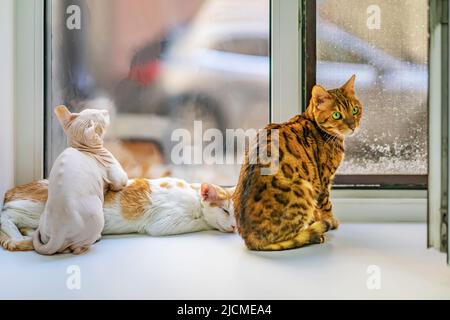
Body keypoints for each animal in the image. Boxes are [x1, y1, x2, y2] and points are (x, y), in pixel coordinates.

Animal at [0, 176, 237, 251]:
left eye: (237, 216)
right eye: (225, 210)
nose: (235, 227)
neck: (192, 194)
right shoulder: (162, 223)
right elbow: (200, 222)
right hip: (37, 208)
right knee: (6, 216)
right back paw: (18, 237)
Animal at [32, 106, 128, 256]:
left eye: (95, 110)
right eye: (101, 116)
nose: (106, 110)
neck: (81, 148)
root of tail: (58, 230)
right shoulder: (115, 172)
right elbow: (121, 182)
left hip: (44, 220)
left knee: (64, 248)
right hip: (96, 216)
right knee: (77, 248)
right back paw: (91, 243)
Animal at [234, 74, 360, 250]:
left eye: (355, 110)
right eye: (336, 115)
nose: (353, 126)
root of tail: (249, 239)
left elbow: (317, 210)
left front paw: (317, 220)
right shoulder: (323, 181)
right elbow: (326, 206)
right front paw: (330, 221)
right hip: (303, 188)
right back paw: (314, 234)